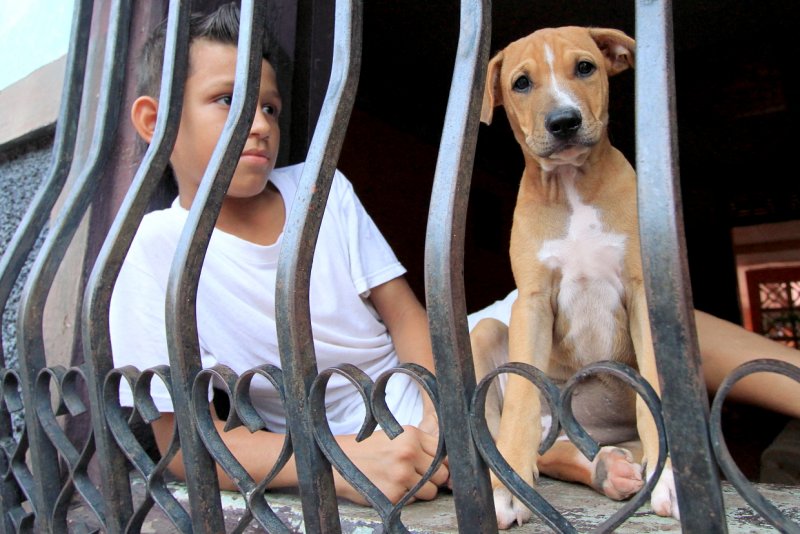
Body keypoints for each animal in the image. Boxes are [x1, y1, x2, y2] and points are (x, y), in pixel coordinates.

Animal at [472, 27, 680, 528]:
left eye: (585, 68)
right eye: (521, 83)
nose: (563, 121)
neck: (571, 185)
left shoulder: (642, 293)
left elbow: (654, 392)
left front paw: (669, 479)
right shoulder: (532, 301)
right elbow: (522, 400)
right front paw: (509, 493)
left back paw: (612, 468)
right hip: (486, 332)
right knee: (535, 441)